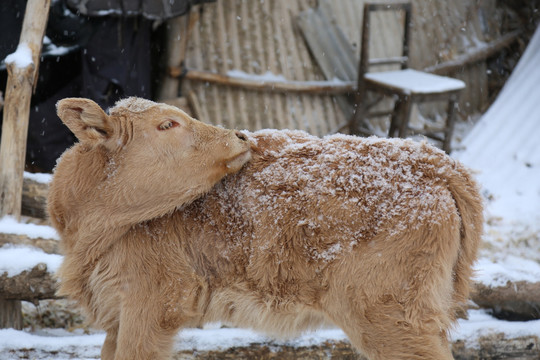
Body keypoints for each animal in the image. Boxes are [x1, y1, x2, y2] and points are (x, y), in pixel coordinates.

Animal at [48, 97, 484, 358]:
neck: (89, 234)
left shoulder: (152, 303)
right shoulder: (115, 313)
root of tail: (434, 159)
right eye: (167, 124)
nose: (240, 135)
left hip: (391, 314)